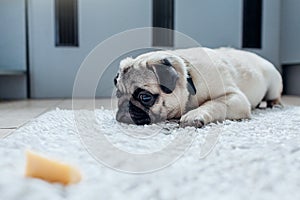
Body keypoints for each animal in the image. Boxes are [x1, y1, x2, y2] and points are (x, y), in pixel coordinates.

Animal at [113, 47, 282, 127]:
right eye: (118, 95)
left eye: (145, 97)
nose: (124, 108)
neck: (190, 79)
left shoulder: (235, 98)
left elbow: (214, 103)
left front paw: (195, 115)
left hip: (274, 84)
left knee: (275, 96)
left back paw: (275, 104)